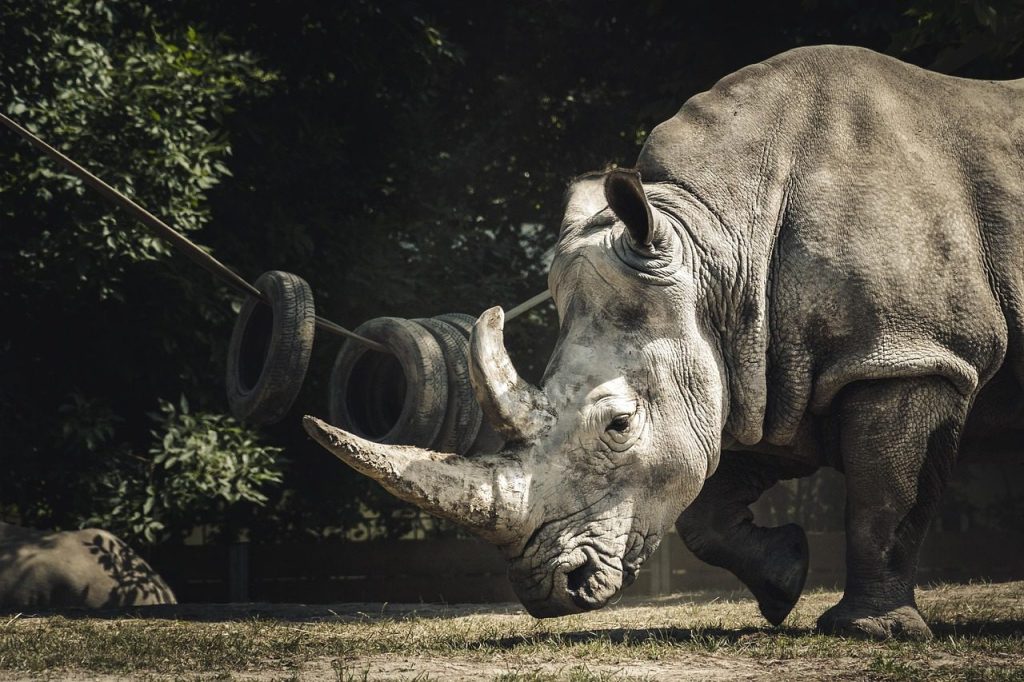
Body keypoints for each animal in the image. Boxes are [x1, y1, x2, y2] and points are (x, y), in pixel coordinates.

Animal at [304, 45, 1024, 640]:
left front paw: (871, 631)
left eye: (619, 425)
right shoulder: (766, 370)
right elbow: (707, 512)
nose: (547, 591)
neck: (721, 244)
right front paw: (784, 580)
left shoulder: (909, 354)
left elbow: (887, 496)